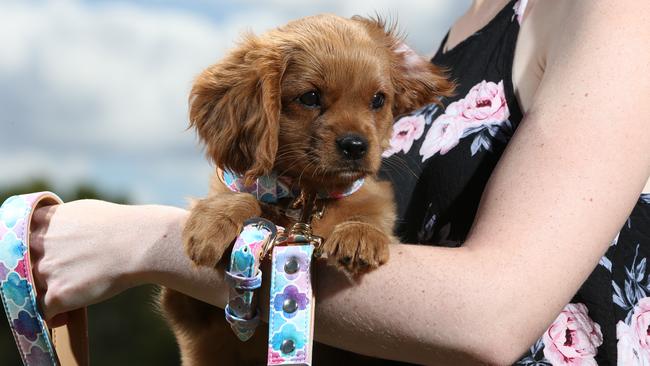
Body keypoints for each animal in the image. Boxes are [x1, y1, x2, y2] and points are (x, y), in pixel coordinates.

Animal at [161, 14, 450, 366]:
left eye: (378, 100)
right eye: (310, 97)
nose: (356, 146)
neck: (306, 201)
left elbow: (368, 214)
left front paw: (360, 235)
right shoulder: (188, 307)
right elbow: (242, 196)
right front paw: (213, 221)